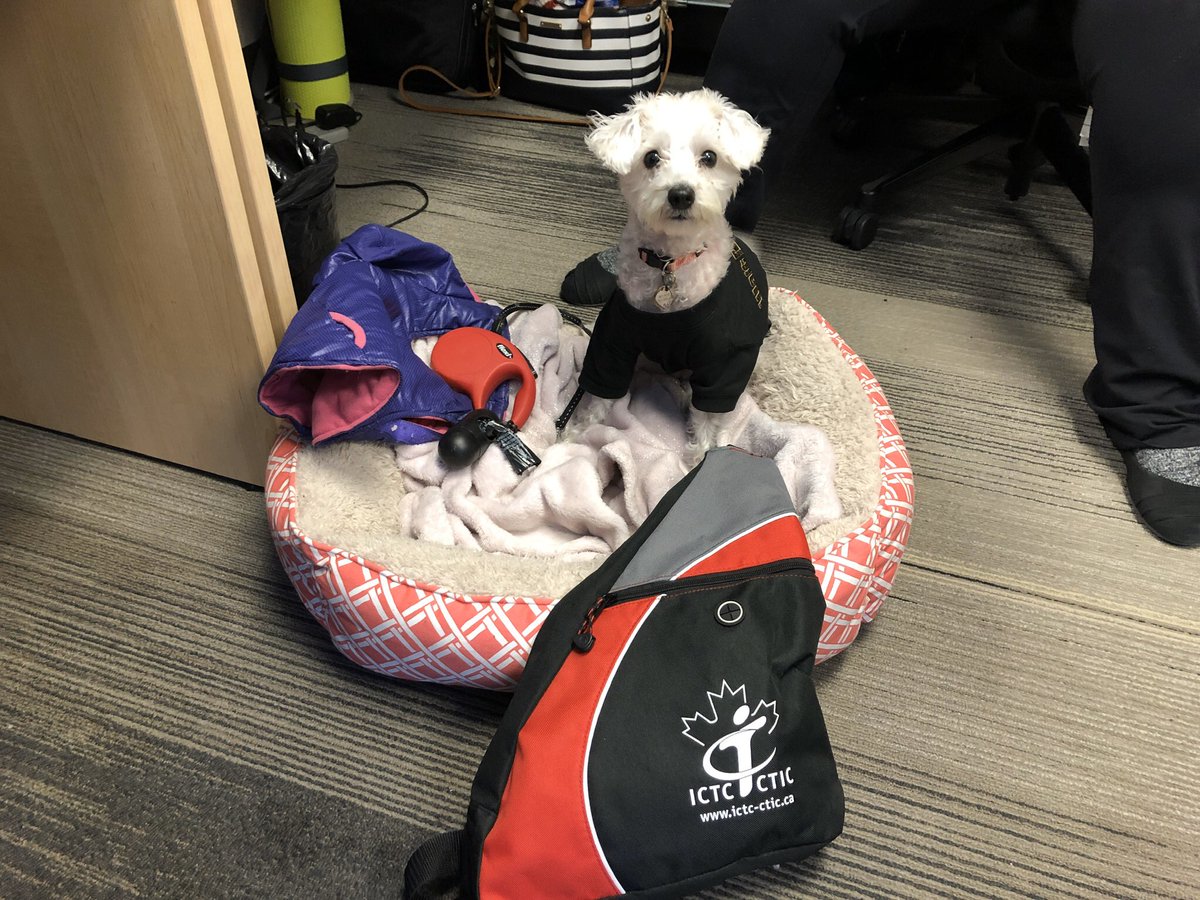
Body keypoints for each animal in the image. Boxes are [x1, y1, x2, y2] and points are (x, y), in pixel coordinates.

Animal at [568, 90, 768, 458]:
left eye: (709, 157)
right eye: (651, 158)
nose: (681, 194)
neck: (669, 265)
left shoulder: (722, 363)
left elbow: (708, 417)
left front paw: (699, 457)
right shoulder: (613, 338)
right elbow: (601, 391)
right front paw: (577, 434)